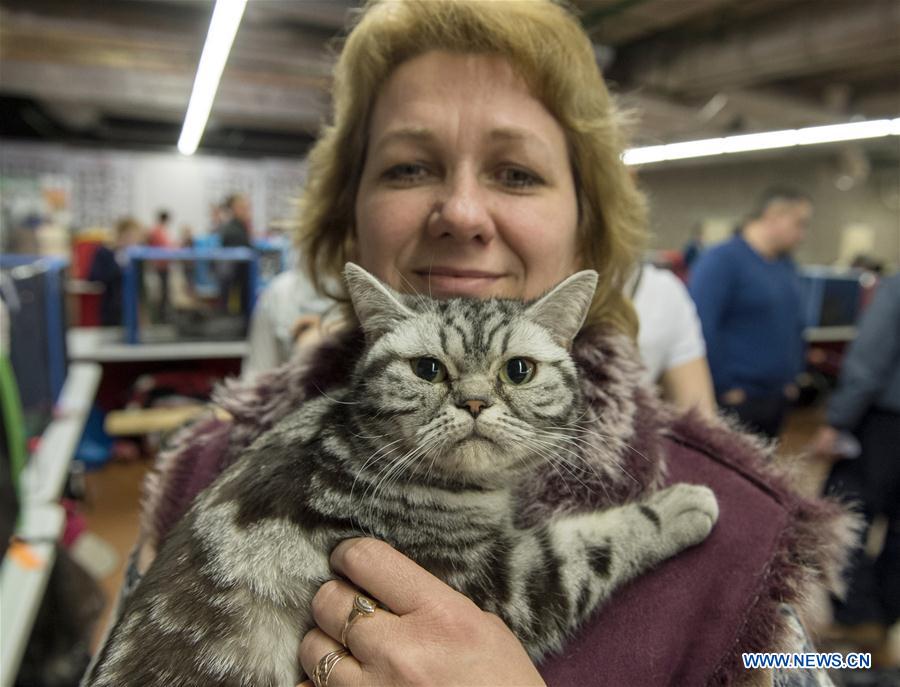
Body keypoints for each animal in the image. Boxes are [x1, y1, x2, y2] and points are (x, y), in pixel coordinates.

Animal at [84, 264, 716, 687]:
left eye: (518, 370)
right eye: (428, 369)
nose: (475, 402)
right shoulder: (502, 584)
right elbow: (590, 544)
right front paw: (682, 505)